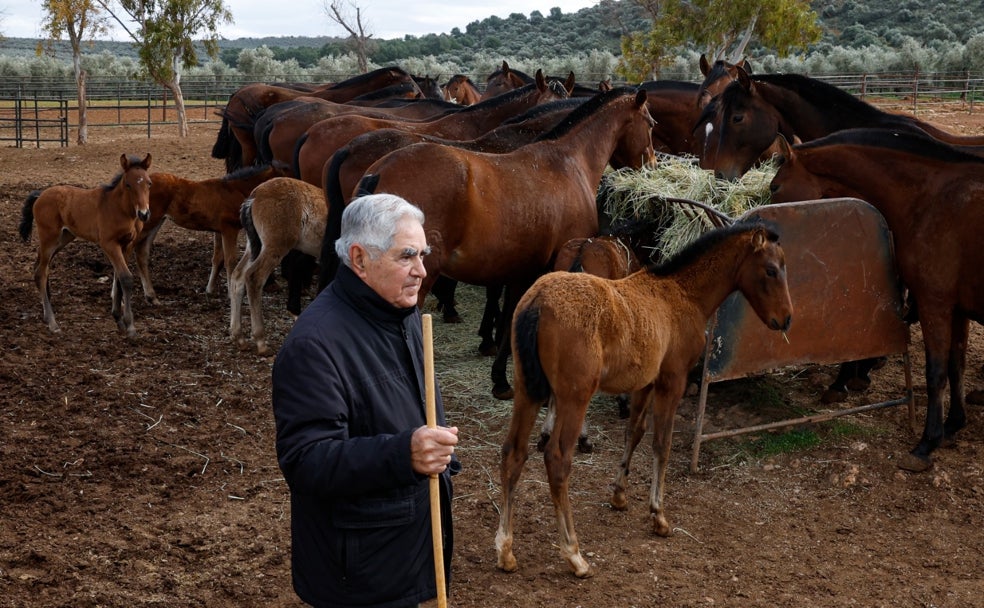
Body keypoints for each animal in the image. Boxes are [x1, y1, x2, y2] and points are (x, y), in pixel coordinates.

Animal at [19, 152, 153, 338]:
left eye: (149, 183)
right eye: (128, 184)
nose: (144, 214)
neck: (120, 208)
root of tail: (40, 195)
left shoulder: (127, 245)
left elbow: (119, 278)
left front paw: (119, 320)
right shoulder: (109, 244)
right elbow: (126, 278)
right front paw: (130, 326)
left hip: (64, 237)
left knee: (39, 266)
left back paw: (46, 314)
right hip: (49, 237)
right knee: (40, 272)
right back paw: (52, 323)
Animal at [229, 176, 324, 356]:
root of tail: (254, 196)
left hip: (254, 245)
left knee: (237, 276)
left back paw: (239, 337)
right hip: (275, 246)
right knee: (254, 277)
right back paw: (261, 341)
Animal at [350, 86, 656, 400]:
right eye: (651, 124)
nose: (652, 166)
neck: (569, 162)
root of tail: (381, 169)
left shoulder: (520, 271)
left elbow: (510, 319)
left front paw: (499, 377)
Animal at [768, 127, 984, 470]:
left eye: (775, 186)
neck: (932, 198)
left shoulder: (934, 304)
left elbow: (935, 373)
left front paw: (927, 442)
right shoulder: (957, 308)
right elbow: (955, 365)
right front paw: (953, 423)